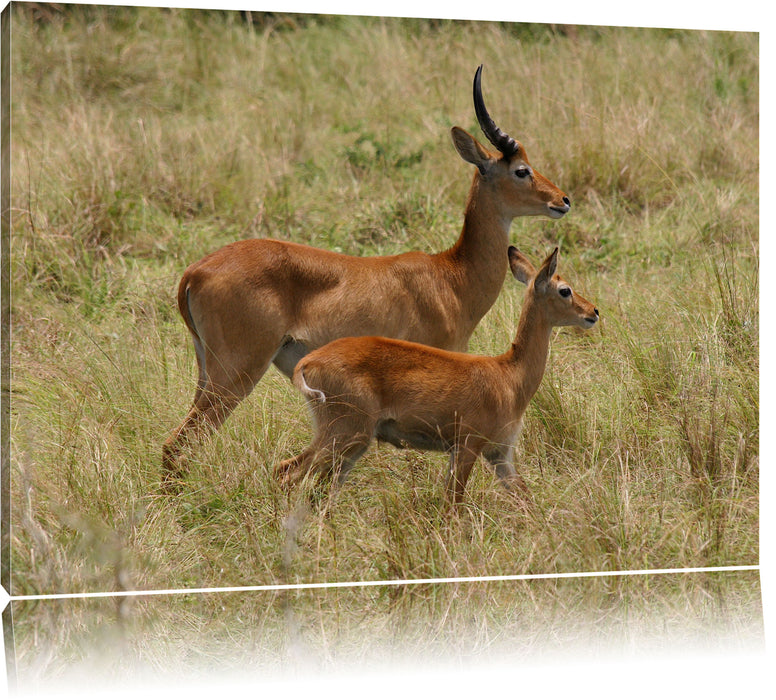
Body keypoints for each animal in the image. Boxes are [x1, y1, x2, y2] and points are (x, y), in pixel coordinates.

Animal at [162, 64, 568, 482]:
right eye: (521, 170)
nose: (562, 200)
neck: (452, 277)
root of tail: (195, 272)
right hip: (236, 373)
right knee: (178, 442)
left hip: (208, 371)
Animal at [278, 249, 600, 506]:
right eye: (564, 290)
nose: (593, 311)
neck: (509, 376)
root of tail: (308, 362)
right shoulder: (467, 447)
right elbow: (453, 503)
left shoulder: (500, 454)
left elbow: (526, 499)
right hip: (344, 434)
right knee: (287, 472)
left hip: (350, 444)